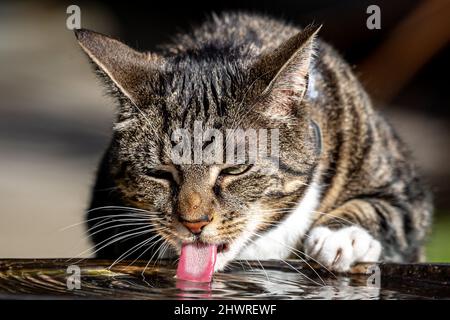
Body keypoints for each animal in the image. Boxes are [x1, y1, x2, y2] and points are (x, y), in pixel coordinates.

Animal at [76, 13, 432, 282]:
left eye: (235, 169)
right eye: (158, 173)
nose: (194, 224)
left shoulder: (403, 186)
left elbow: (388, 209)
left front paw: (341, 237)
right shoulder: (103, 208)